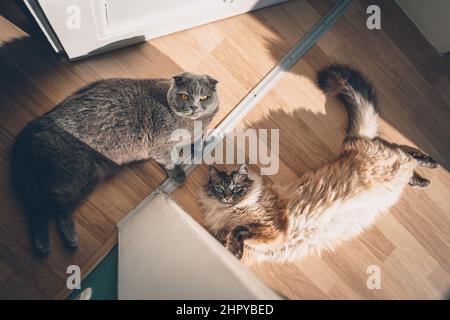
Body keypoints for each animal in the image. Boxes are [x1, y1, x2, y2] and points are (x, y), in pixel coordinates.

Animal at [11, 71, 219, 254]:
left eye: (204, 98)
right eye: (184, 96)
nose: (194, 107)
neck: (192, 124)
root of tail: (38, 121)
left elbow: (199, 141)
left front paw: (205, 143)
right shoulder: (159, 143)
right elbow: (170, 159)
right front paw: (180, 174)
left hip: (87, 180)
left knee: (58, 209)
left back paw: (69, 239)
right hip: (68, 176)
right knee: (38, 206)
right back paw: (43, 244)